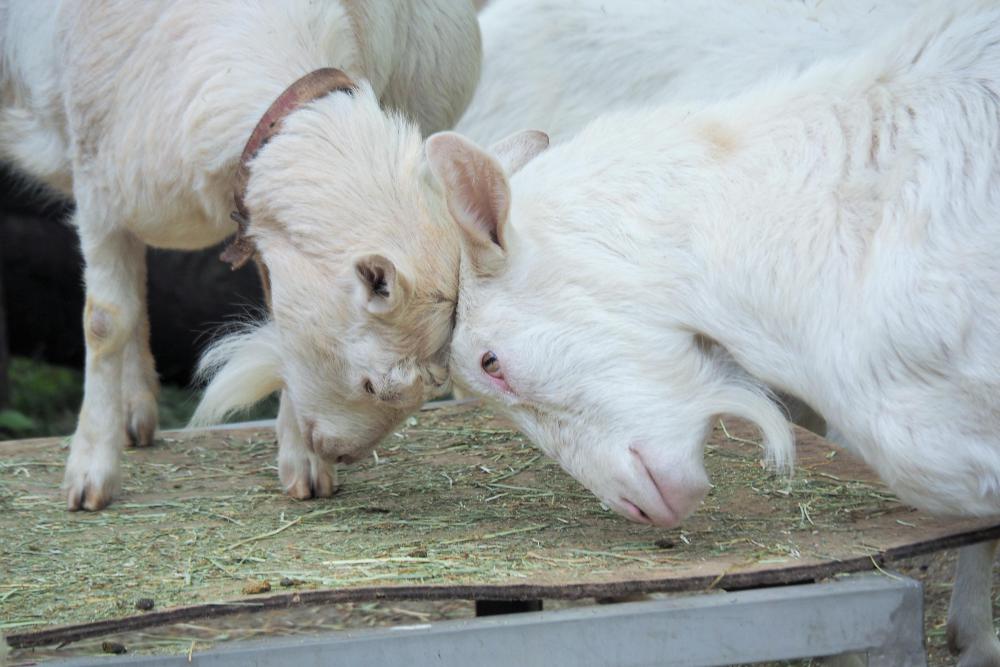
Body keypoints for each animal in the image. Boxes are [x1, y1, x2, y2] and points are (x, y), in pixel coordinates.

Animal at [0, 0, 480, 508]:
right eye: (374, 385)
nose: (339, 453)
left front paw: (303, 465)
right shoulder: (99, 192)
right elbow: (105, 322)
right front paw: (91, 470)